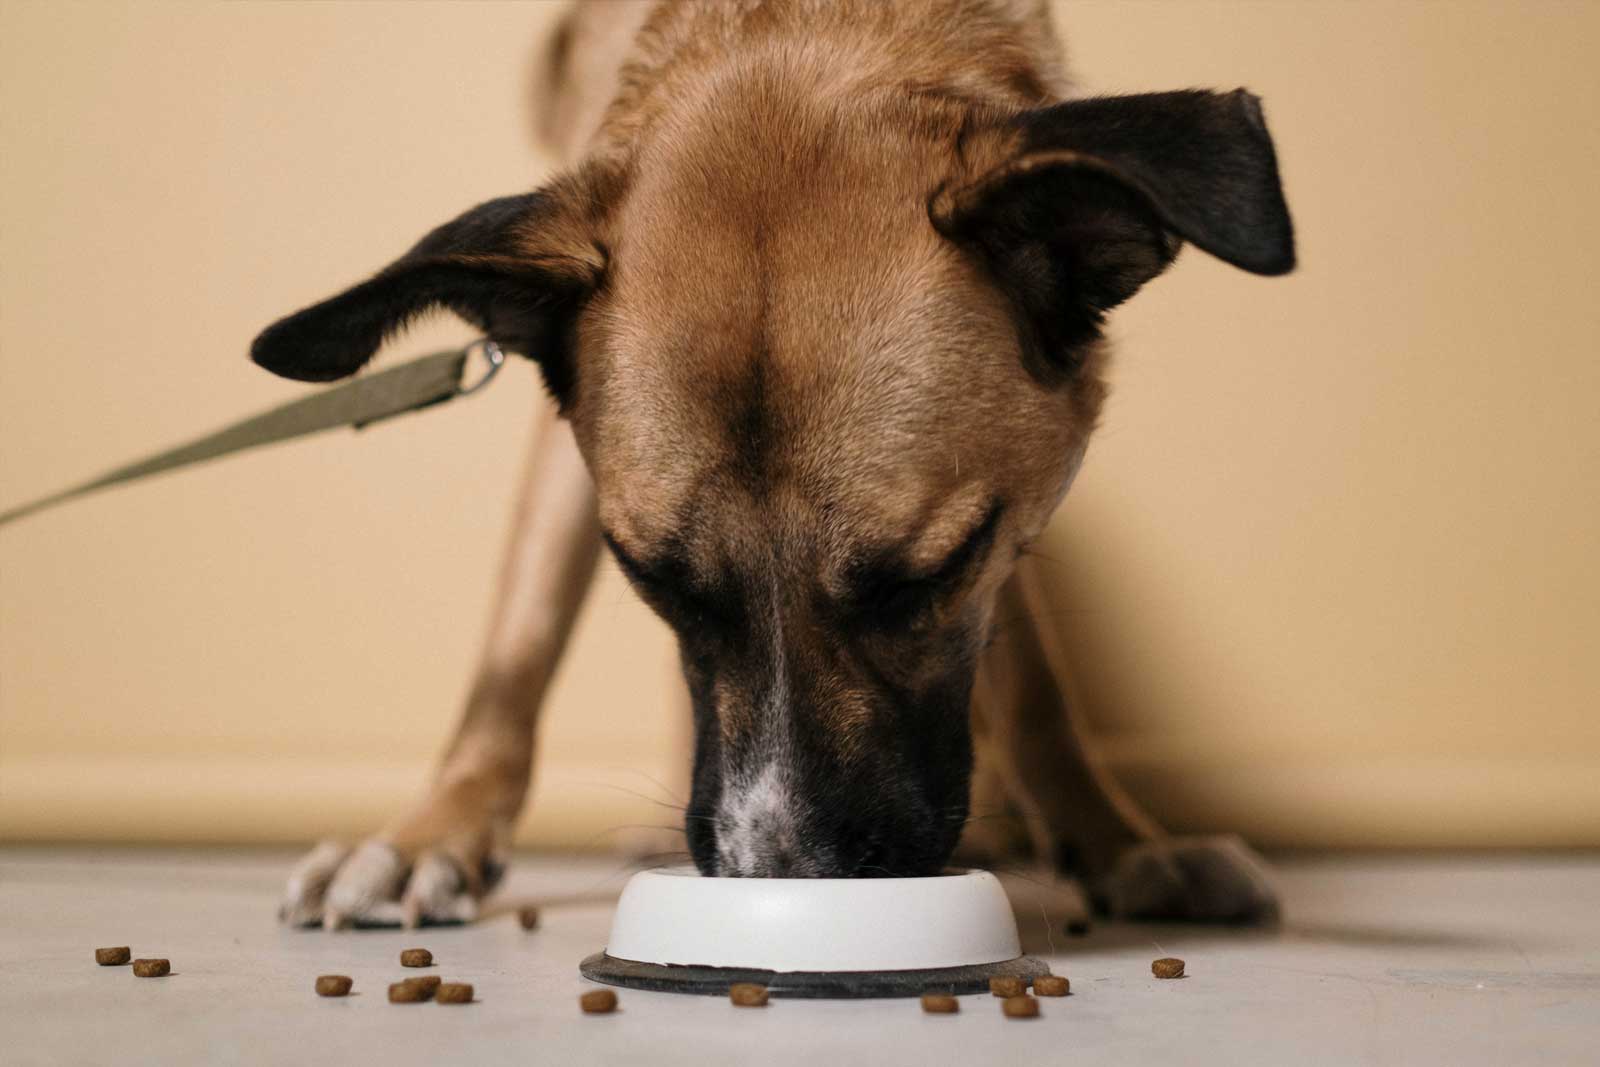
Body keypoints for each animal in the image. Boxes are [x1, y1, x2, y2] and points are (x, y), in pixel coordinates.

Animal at [256, 0, 1292, 927]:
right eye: (654, 579)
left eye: (926, 578)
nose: (781, 875)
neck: (796, 28)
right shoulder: (564, 444)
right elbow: (517, 646)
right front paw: (433, 831)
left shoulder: (1011, 507)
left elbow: (1035, 682)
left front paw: (1117, 840)